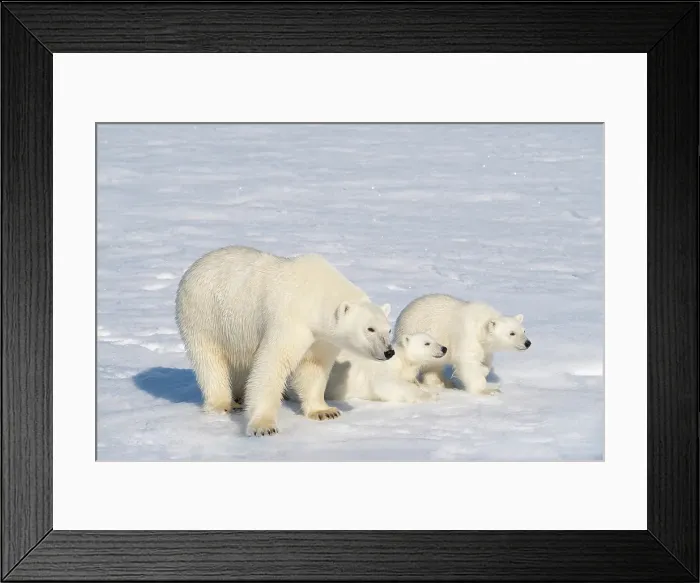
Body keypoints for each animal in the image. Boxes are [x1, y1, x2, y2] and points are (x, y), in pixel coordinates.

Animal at [175, 245, 394, 436]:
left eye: (388, 329)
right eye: (370, 329)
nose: (389, 351)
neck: (316, 292)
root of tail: (196, 265)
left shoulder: (320, 337)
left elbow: (313, 366)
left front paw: (325, 411)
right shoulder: (290, 319)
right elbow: (273, 363)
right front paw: (263, 426)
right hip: (204, 316)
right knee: (209, 361)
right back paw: (225, 404)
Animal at [394, 294, 531, 395]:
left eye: (523, 330)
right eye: (512, 333)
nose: (527, 343)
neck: (480, 323)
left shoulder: (484, 347)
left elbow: (484, 360)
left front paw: (484, 370)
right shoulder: (467, 336)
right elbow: (468, 362)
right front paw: (486, 390)